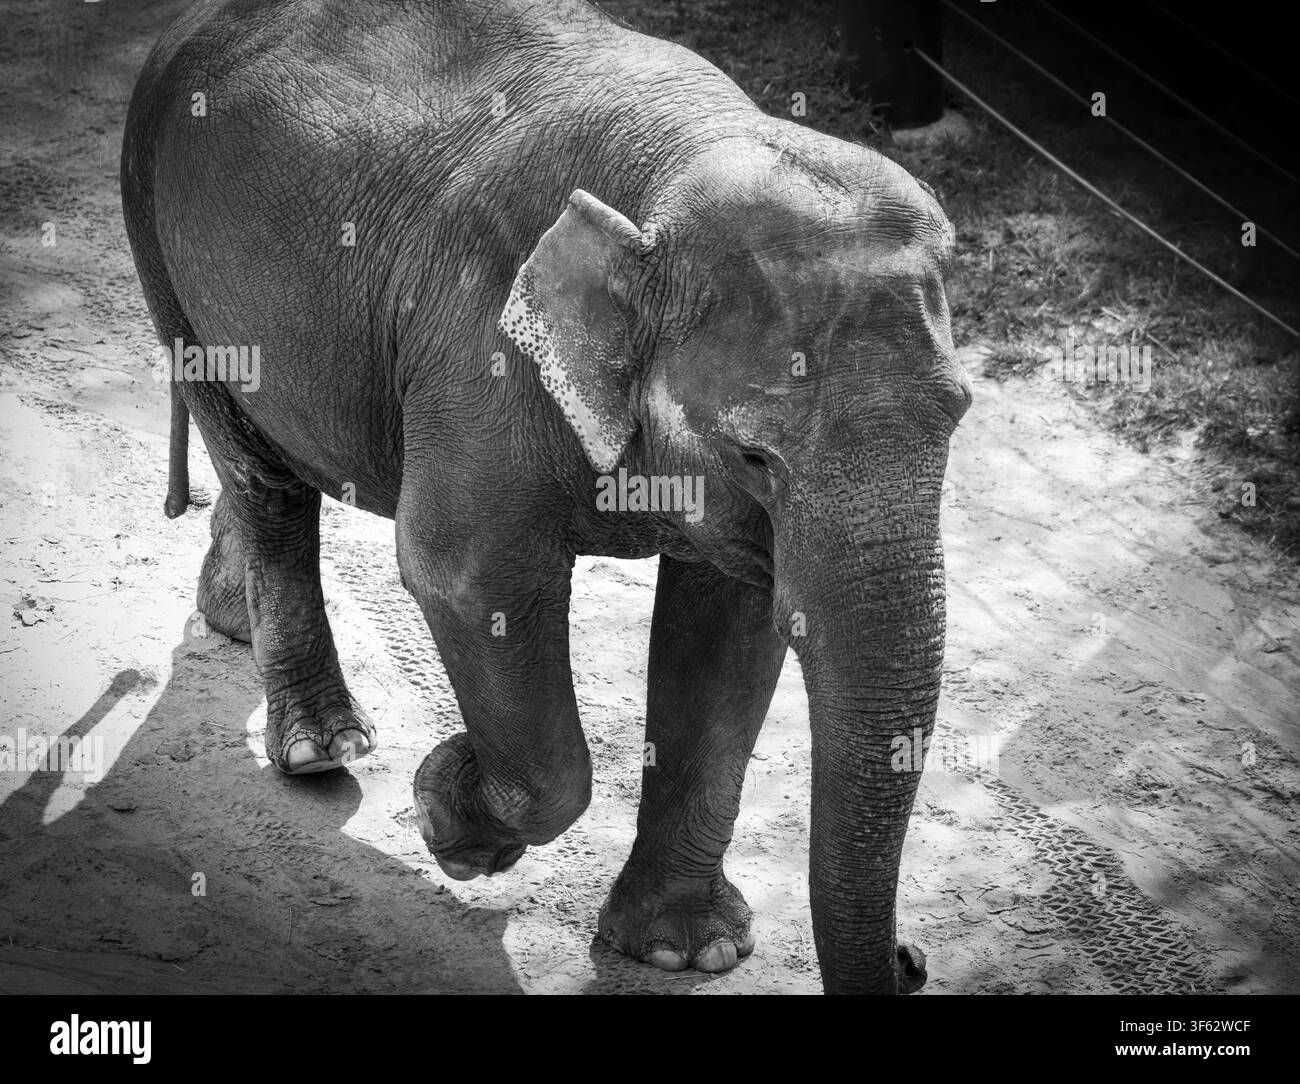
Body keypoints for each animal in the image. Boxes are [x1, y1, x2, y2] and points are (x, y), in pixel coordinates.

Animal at [121, 0, 971, 994]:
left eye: (960, 414)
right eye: (755, 455)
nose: (914, 958)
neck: (678, 164)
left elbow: (730, 630)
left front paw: (689, 950)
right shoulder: (478, 345)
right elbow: (466, 576)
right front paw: (447, 808)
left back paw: (231, 619)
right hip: (158, 239)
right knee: (262, 474)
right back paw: (322, 749)